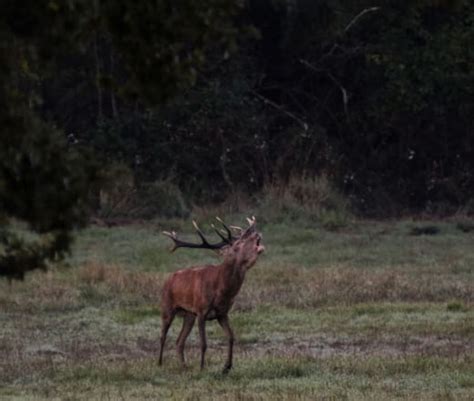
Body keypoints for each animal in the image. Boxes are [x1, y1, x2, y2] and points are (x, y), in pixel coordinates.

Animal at [158, 216, 262, 372]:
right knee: (163, 336)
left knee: (179, 341)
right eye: (238, 244)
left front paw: (227, 367)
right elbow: (204, 343)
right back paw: (159, 363)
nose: (257, 234)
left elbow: (231, 337)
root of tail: (168, 279)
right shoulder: (202, 311)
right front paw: (202, 368)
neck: (221, 292)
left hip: (189, 314)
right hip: (167, 306)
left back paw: (184, 365)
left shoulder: (222, 313)